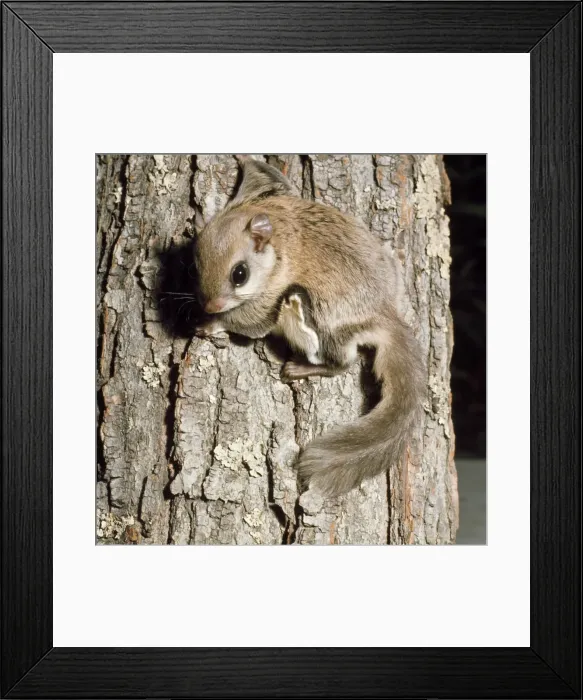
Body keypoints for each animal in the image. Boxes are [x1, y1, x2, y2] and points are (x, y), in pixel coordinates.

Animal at [193, 157, 425, 497]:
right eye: (195, 266)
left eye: (239, 274)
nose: (210, 306)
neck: (277, 240)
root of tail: (384, 314)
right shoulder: (269, 192)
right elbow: (268, 175)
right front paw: (243, 159)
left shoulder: (268, 300)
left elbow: (250, 325)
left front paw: (212, 324)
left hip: (321, 320)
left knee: (342, 362)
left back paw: (301, 368)